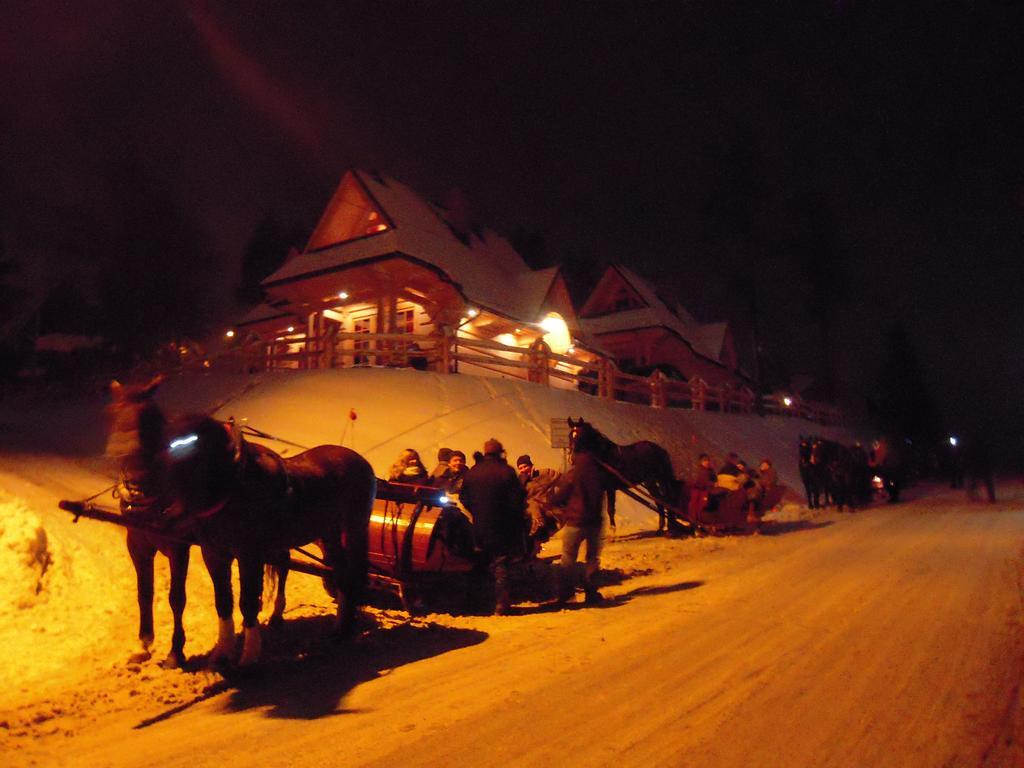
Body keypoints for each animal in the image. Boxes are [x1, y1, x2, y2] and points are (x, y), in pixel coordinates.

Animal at [104, 376, 192, 667]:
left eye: (146, 415)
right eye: (111, 413)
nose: (119, 451)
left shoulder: (179, 547)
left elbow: (176, 598)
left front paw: (176, 650)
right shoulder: (137, 544)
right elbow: (144, 592)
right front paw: (144, 641)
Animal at [163, 415, 376, 667]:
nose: (168, 514)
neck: (235, 490)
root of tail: (363, 463)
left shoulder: (250, 555)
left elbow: (248, 602)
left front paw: (249, 658)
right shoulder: (215, 554)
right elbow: (223, 601)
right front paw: (222, 654)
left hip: (353, 530)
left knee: (351, 575)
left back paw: (346, 630)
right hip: (330, 535)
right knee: (340, 573)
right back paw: (339, 628)